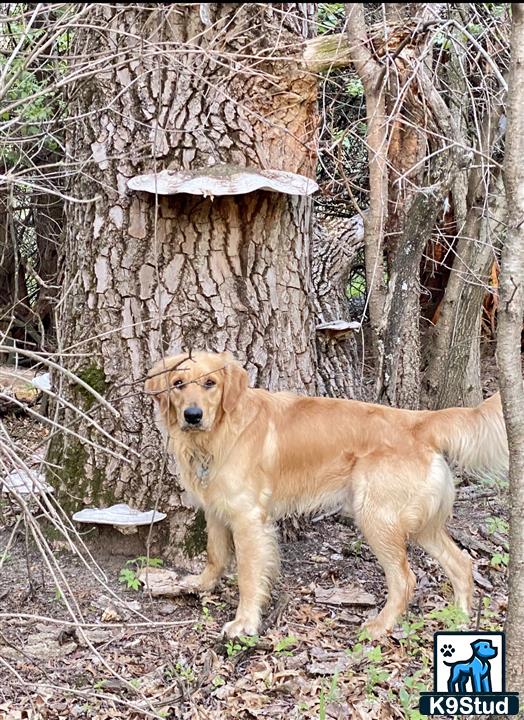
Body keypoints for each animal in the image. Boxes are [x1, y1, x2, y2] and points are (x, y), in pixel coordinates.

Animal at [144, 352, 508, 640]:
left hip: (376, 517)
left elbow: (248, 574)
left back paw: (381, 625)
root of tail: (418, 421)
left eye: (210, 383)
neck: (218, 434)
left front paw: (245, 622)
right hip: (419, 523)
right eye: (178, 383)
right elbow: (215, 554)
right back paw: (459, 618)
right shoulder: (217, 509)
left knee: (406, 578)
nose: (192, 415)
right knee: (461, 563)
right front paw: (202, 584)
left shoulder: (248, 518)